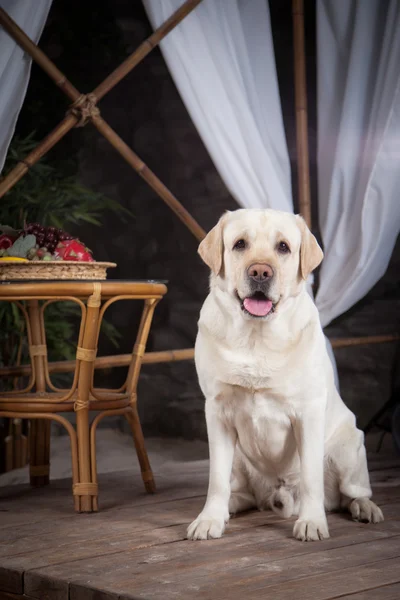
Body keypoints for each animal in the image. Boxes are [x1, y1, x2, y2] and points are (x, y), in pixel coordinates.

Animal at [187, 209, 382, 540]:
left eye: (283, 247)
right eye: (240, 244)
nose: (260, 273)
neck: (256, 337)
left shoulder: (309, 412)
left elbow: (311, 478)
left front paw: (312, 522)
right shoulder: (217, 412)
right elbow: (216, 480)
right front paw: (209, 519)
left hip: (348, 445)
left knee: (350, 493)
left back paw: (365, 508)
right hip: (239, 459)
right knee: (241, 492)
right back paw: (229, 508)